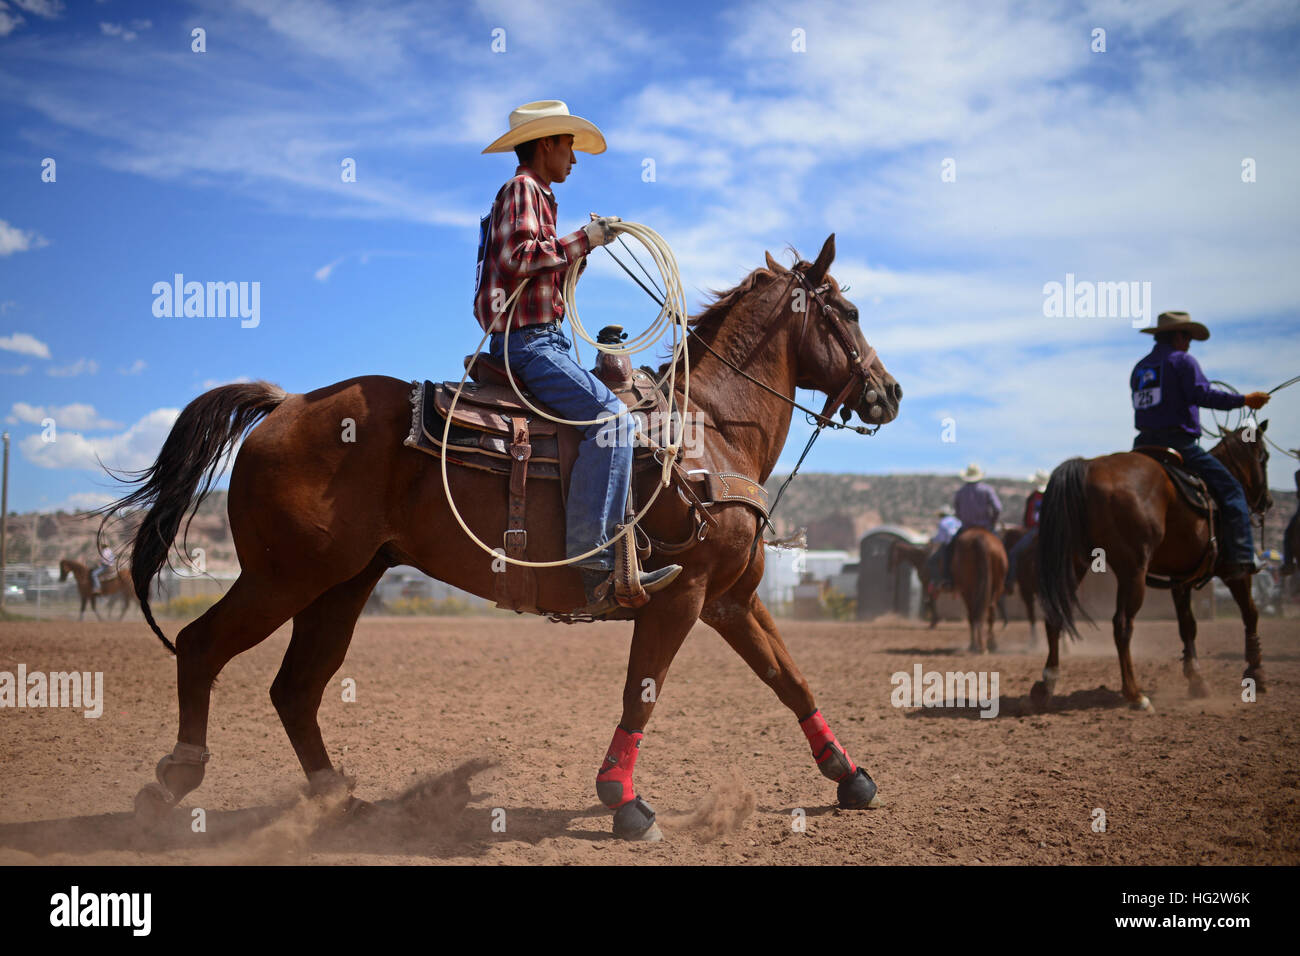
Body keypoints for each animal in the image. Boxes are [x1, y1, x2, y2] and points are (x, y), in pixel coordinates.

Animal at [101, 235, 899, 842]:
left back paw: (341, 802)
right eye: (850, 311)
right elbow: (641, 694)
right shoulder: (683, 595)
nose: (888, 393)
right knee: (203, 646)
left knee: (296, 688)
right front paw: (623, 801)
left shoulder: (732, 599)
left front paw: (851, 777)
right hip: (283, 578)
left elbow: (790, 679)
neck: (708, 431)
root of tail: (285, 404)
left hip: (342, 585)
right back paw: (172, 783)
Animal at [1029, 426, 1274, 712]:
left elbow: (1187, 626)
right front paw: (1256, 673)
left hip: (1073, 562)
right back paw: (1135, 695)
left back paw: (1046, 687)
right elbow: (1251, 614)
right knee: (1122, 625)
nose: (1268, 501)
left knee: (1054, 617)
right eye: (1264, 456)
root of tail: (1088, 466)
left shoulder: (1181, 579)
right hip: (1132, 572)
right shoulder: (1235, 573)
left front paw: (1197, 680)